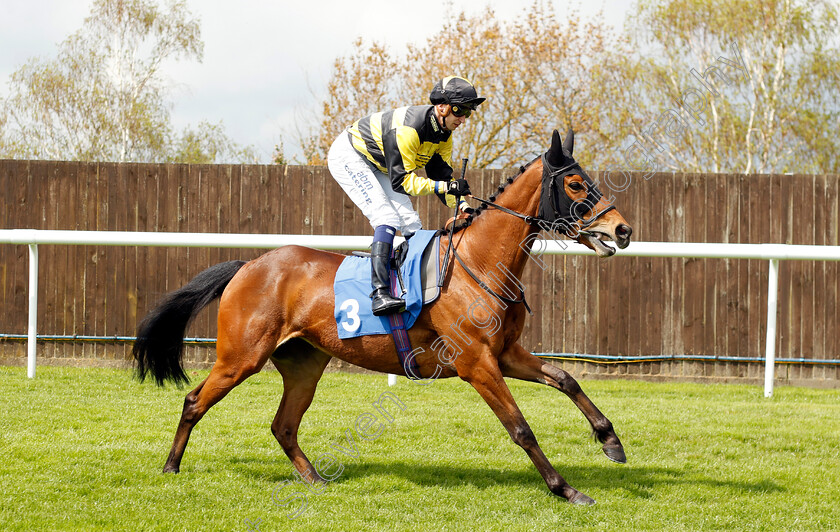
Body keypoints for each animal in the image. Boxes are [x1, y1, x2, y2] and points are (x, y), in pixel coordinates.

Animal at [133, 127, 632, 504]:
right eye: (575, 184)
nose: (622, 229)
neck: (480, 261)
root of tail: (248, 265)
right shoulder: (477, 362)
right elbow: (521, 428)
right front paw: (566, 489)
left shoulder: (506, 353)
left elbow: (566, 379)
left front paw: (611, 441)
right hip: (240, 357)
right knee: (194, 401)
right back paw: (171, 466)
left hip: (303, 363)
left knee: (284, 425)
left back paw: (314, 479)